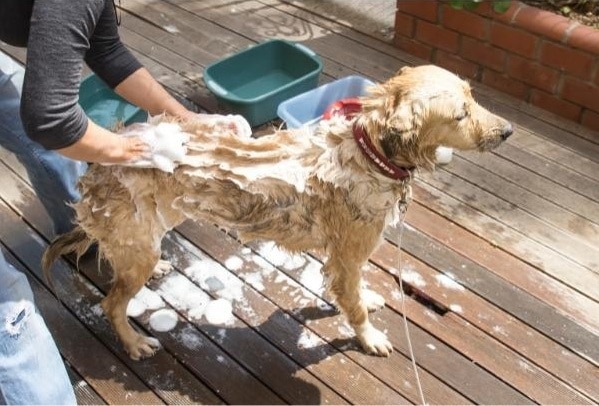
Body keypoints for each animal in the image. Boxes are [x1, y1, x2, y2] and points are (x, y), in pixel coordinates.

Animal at [42, 65, 512, 360]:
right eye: (460, 114)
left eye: (473, 98)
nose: (508, 130)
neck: (370, 153)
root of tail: (97, 167)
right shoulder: (347, 256)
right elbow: (354, 307)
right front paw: (369, 337)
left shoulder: (342, 260)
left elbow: (352, 294)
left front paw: (366, 299)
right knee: (112, 303)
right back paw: (135, 343)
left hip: (150, 227)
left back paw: (155, 270)